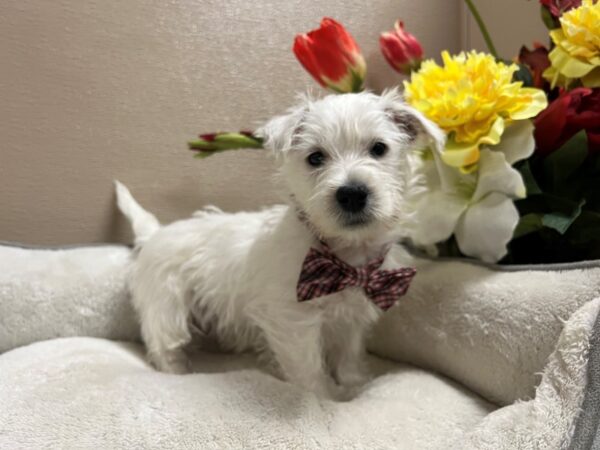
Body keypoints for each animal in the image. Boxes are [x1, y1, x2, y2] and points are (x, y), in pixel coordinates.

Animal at [117, 89, 446, 400]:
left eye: (379, 148)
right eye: (315, 157)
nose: (352, 193)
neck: (343, 255)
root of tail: (154, 233)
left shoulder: (353, 317)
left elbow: (348, 356)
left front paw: (354, 385)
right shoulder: (292, 321)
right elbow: (308, 369)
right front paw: (323, 399)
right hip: (165, 305)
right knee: (165, 347)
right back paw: (179, 372)